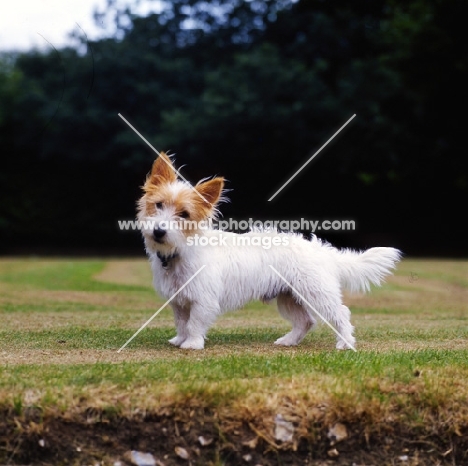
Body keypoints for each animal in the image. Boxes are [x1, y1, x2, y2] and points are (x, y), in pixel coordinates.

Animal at [137, 153, 400, 350]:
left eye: (184, 214)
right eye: (158, 205)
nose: (159, 231)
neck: (180, 251)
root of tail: (320, 250)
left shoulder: (203, 300)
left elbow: (194, 323)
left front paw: (192, 344)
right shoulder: (179, 301)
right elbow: (182, 323)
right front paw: (179, 340)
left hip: (317, 293)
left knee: (340, 313)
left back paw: (345, 343)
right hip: (289, 297)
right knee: (306, 321)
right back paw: (288, 341)